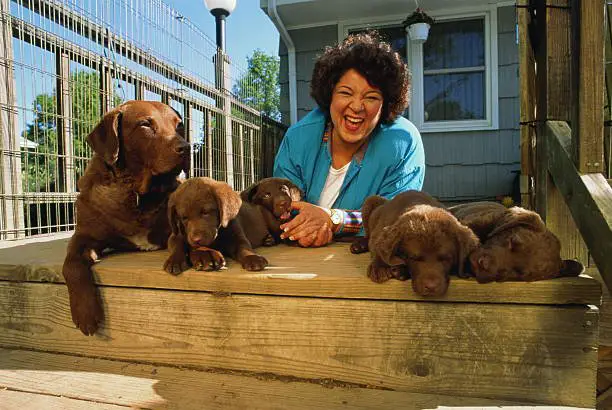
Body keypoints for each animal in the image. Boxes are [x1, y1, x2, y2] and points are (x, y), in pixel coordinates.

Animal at [62, 101, 189, 334]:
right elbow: (72, 264)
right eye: (145, 124)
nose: (186, 147)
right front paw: (85, 312)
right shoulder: (83, 235)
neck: (137, 194)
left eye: (179, 125)